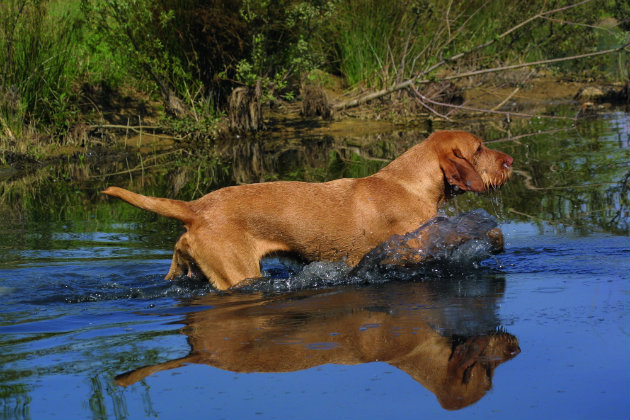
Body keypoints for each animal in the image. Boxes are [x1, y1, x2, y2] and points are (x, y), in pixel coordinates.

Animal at [103, 130, 512, 288]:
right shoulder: (414, 245)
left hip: (185, 269)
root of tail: (196, 208)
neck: (409, 182)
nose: (509, 161)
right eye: (479, 148)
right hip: (239, 273)